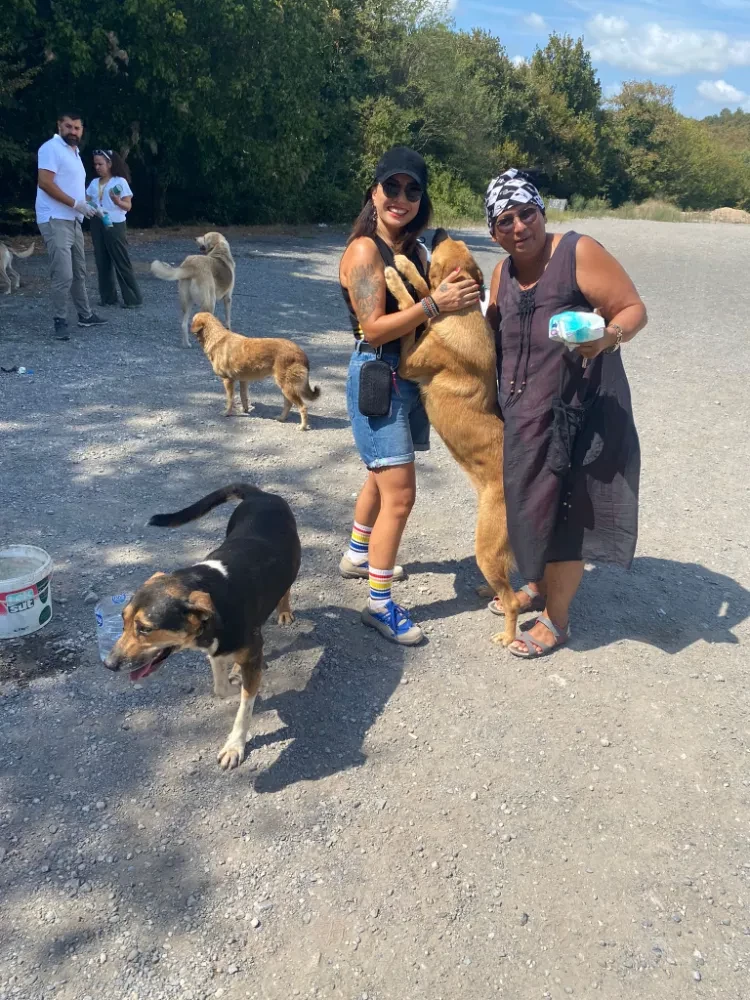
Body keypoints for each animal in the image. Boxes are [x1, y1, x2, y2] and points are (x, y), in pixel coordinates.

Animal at [103, 484, 302, 772]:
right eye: (123, 620)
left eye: (145, 628)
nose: (108, 664)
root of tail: (260, 494)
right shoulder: (217, 649)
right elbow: (222, 688)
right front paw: (235, 682)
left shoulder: (249, 650)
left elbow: (245, 706)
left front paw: (234, 746)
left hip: (292, 563)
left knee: (286, 587)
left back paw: (284, 610)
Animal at [191, 312, 320, 430]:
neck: (215, 337)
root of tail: (301, 353)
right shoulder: (243, 380)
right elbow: (243, 397)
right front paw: (245, 410)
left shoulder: (228, 380)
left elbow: (230, 400)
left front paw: (227, 413)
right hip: (286, 387)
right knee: (288, 404)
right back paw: (281, 418)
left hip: (287, 386)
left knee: (302, 407)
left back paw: (302, 426)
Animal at [384, 229, 520, 644]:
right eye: (455, 242)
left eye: (443, 247)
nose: (439, 229)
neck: (462, 313)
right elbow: (422, 292)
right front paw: (403, 265)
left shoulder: (409, 362)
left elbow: (414, 297)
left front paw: (396, 273)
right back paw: (487, 591)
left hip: (485, 547)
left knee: (514, 599)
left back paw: (508, 636)